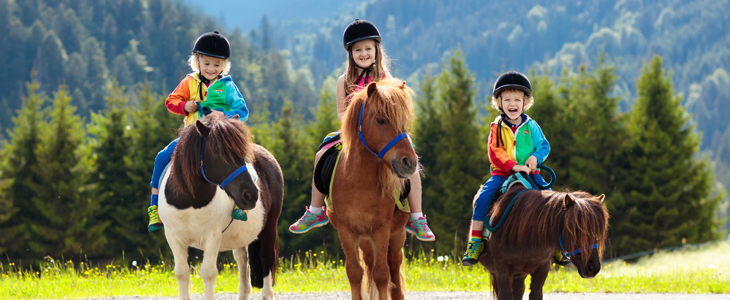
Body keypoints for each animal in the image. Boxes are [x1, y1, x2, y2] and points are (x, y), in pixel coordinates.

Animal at [158, 113, 282, 300]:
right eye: (218, 152)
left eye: (243, 153)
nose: (251, 194)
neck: (191, 202)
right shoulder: (173, 236)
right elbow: (181, 272)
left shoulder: (212, 236)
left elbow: (208, 273)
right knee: (242, 259)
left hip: (269, 226)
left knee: (266, 258)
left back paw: (267, 294)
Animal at [328, 78, 418, 298]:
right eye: (381, 120)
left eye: (403, 121)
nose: (410, 162)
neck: (358, 183)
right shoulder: (346, 230)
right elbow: (354, 272)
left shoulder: (381, 229)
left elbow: (382, 274)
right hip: (365, 240)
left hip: (395, 236)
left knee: (393, 267)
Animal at [478, 185, 608, 300]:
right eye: (575, 229)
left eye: (598, 231)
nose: (593, 267)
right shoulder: (502, 270)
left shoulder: (542, 268)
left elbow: (535, 293)